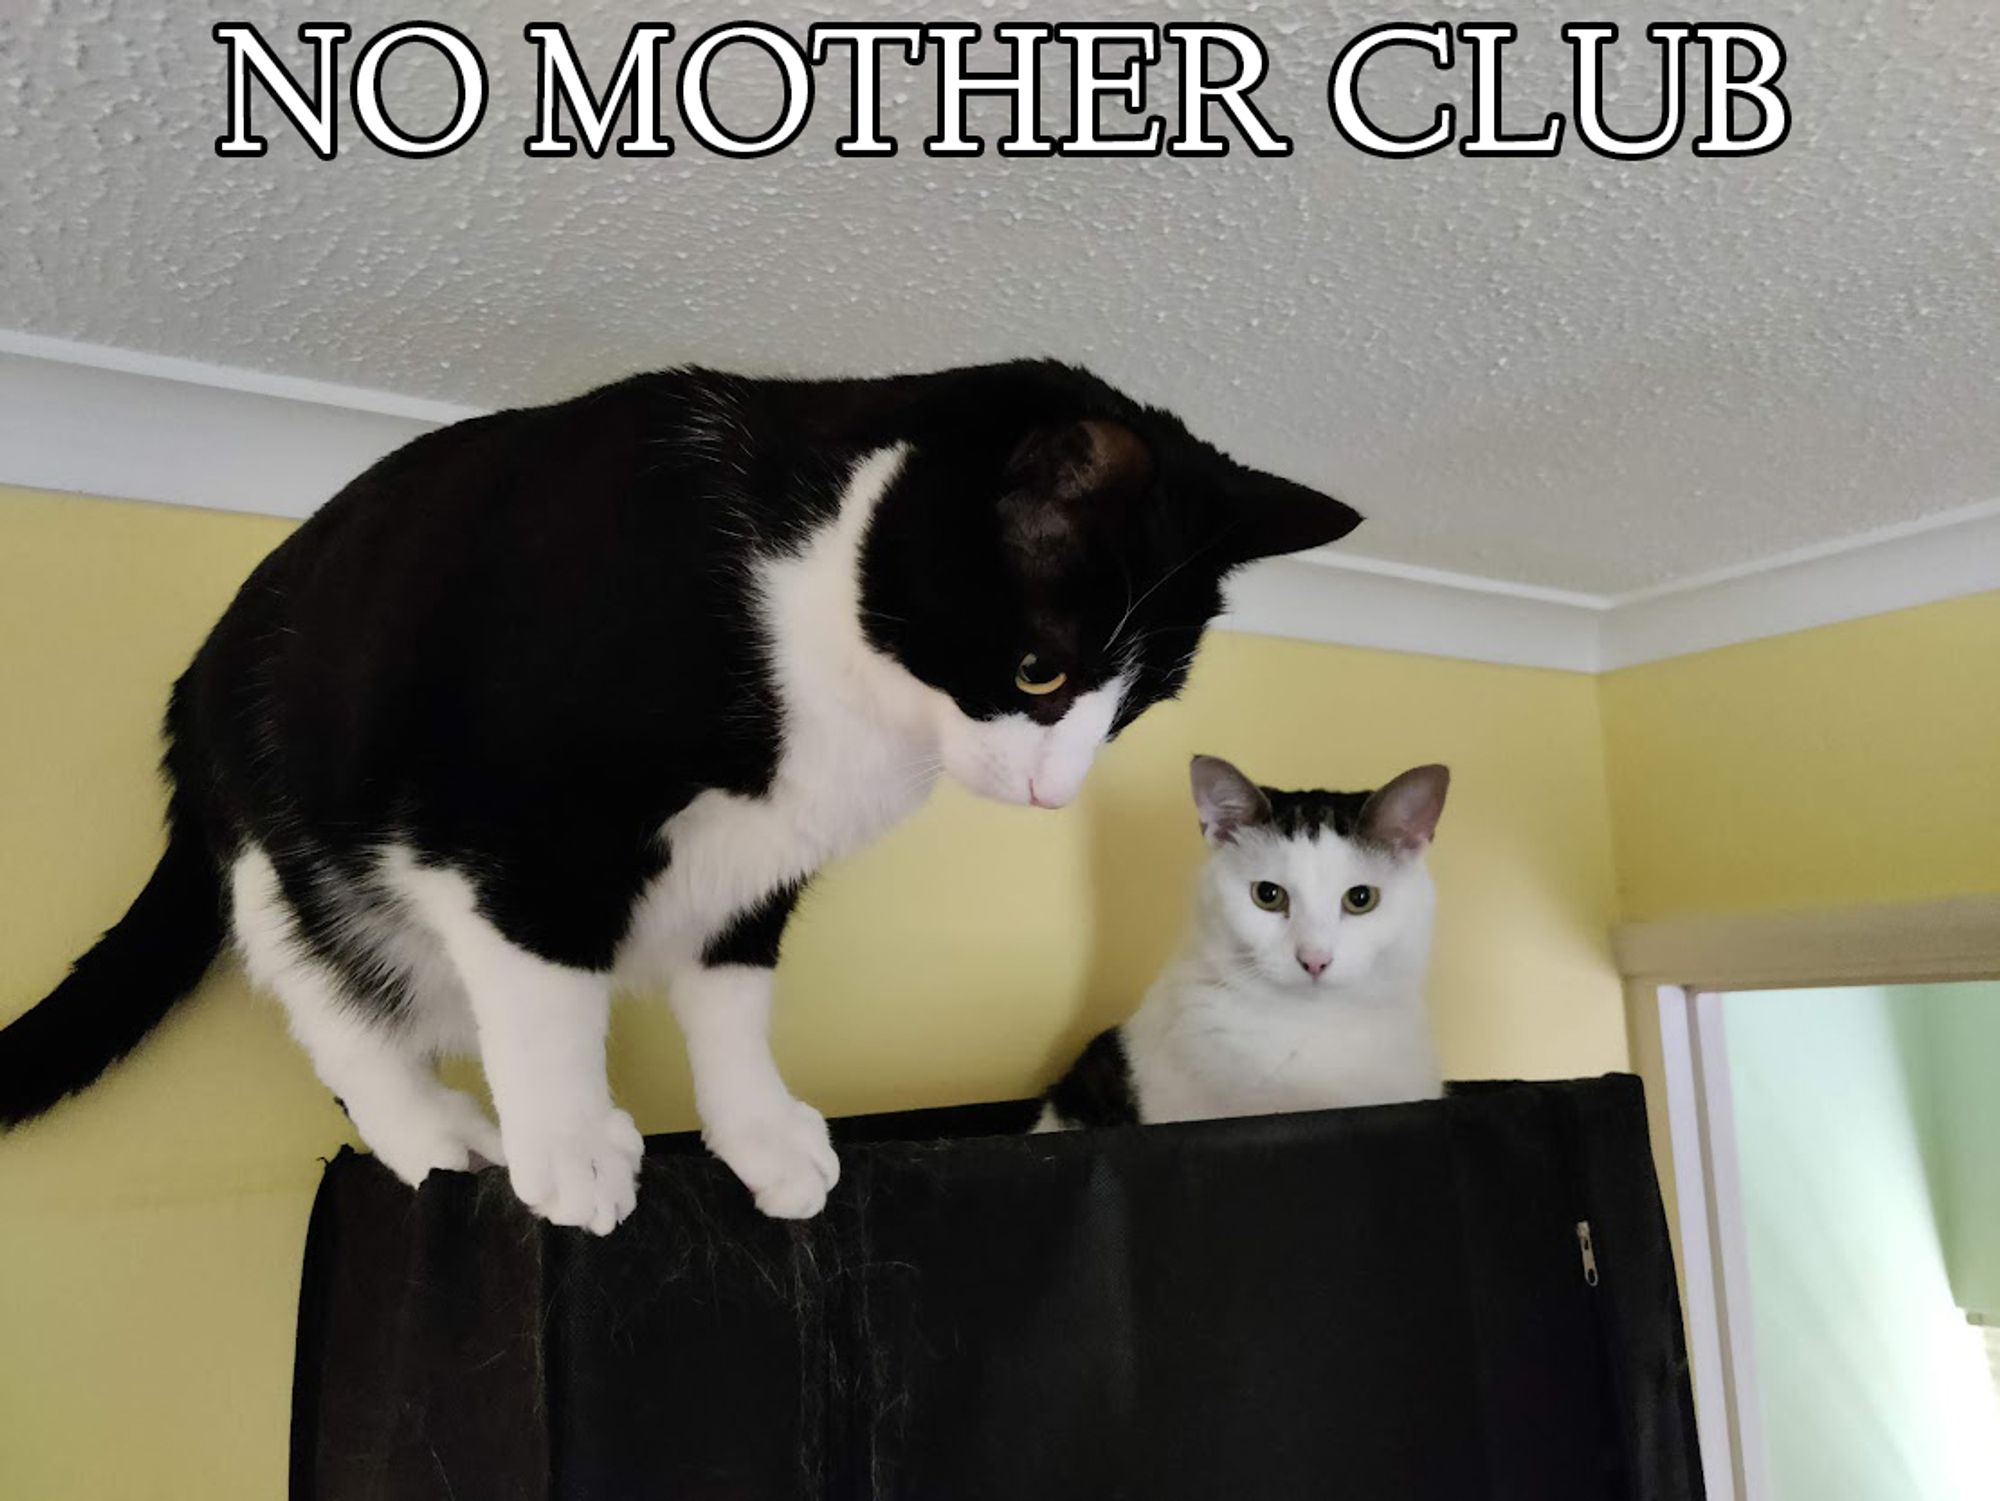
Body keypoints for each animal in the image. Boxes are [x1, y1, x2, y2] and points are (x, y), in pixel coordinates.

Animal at [0, 362, 1360, 1232]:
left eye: (1134, 705)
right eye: (1042, 670)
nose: (1047, 794)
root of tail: (194, 694)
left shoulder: (761, 865)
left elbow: (732, 989)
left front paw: (756, 1130)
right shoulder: (516, 821)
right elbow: (543, 983)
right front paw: (567, 1143)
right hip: (284, 828)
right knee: (323, 990)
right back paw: (436, 1131)